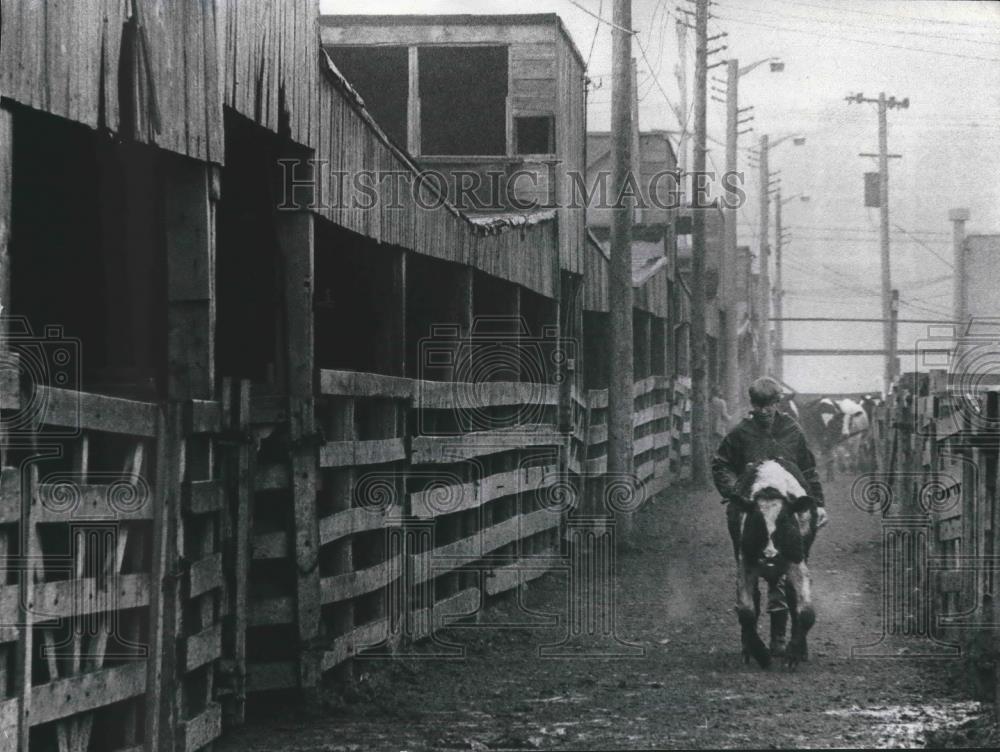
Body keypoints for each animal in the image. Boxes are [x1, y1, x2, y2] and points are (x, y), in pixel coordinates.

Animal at [732, 458, 816, 668]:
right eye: (756, 521)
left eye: (785, 520)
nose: (770, 556)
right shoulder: (746, 563)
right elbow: (746, 612)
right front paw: (761, 654)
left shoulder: (797, 562)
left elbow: (806, 612)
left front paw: (794, 654)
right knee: (755, 598)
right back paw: (747, 651)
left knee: (791, 598)